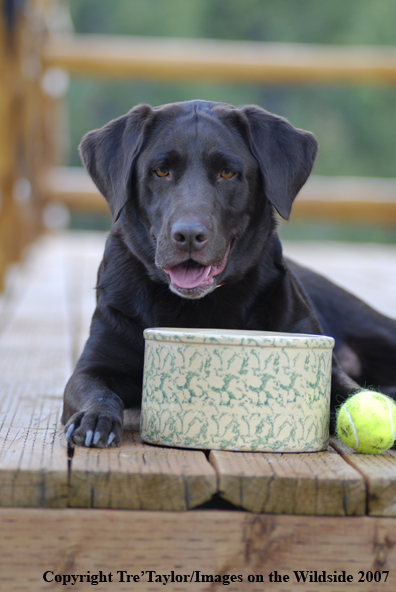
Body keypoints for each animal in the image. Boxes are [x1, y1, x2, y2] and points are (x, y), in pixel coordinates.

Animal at [62, 99, 396, 446]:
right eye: (161, 171)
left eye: (227, 172)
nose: (188, 235)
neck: (197, 308)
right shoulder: (93, 366)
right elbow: (96, 391)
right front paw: (94, 417)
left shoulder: (323, 358)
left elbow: (350, 392)